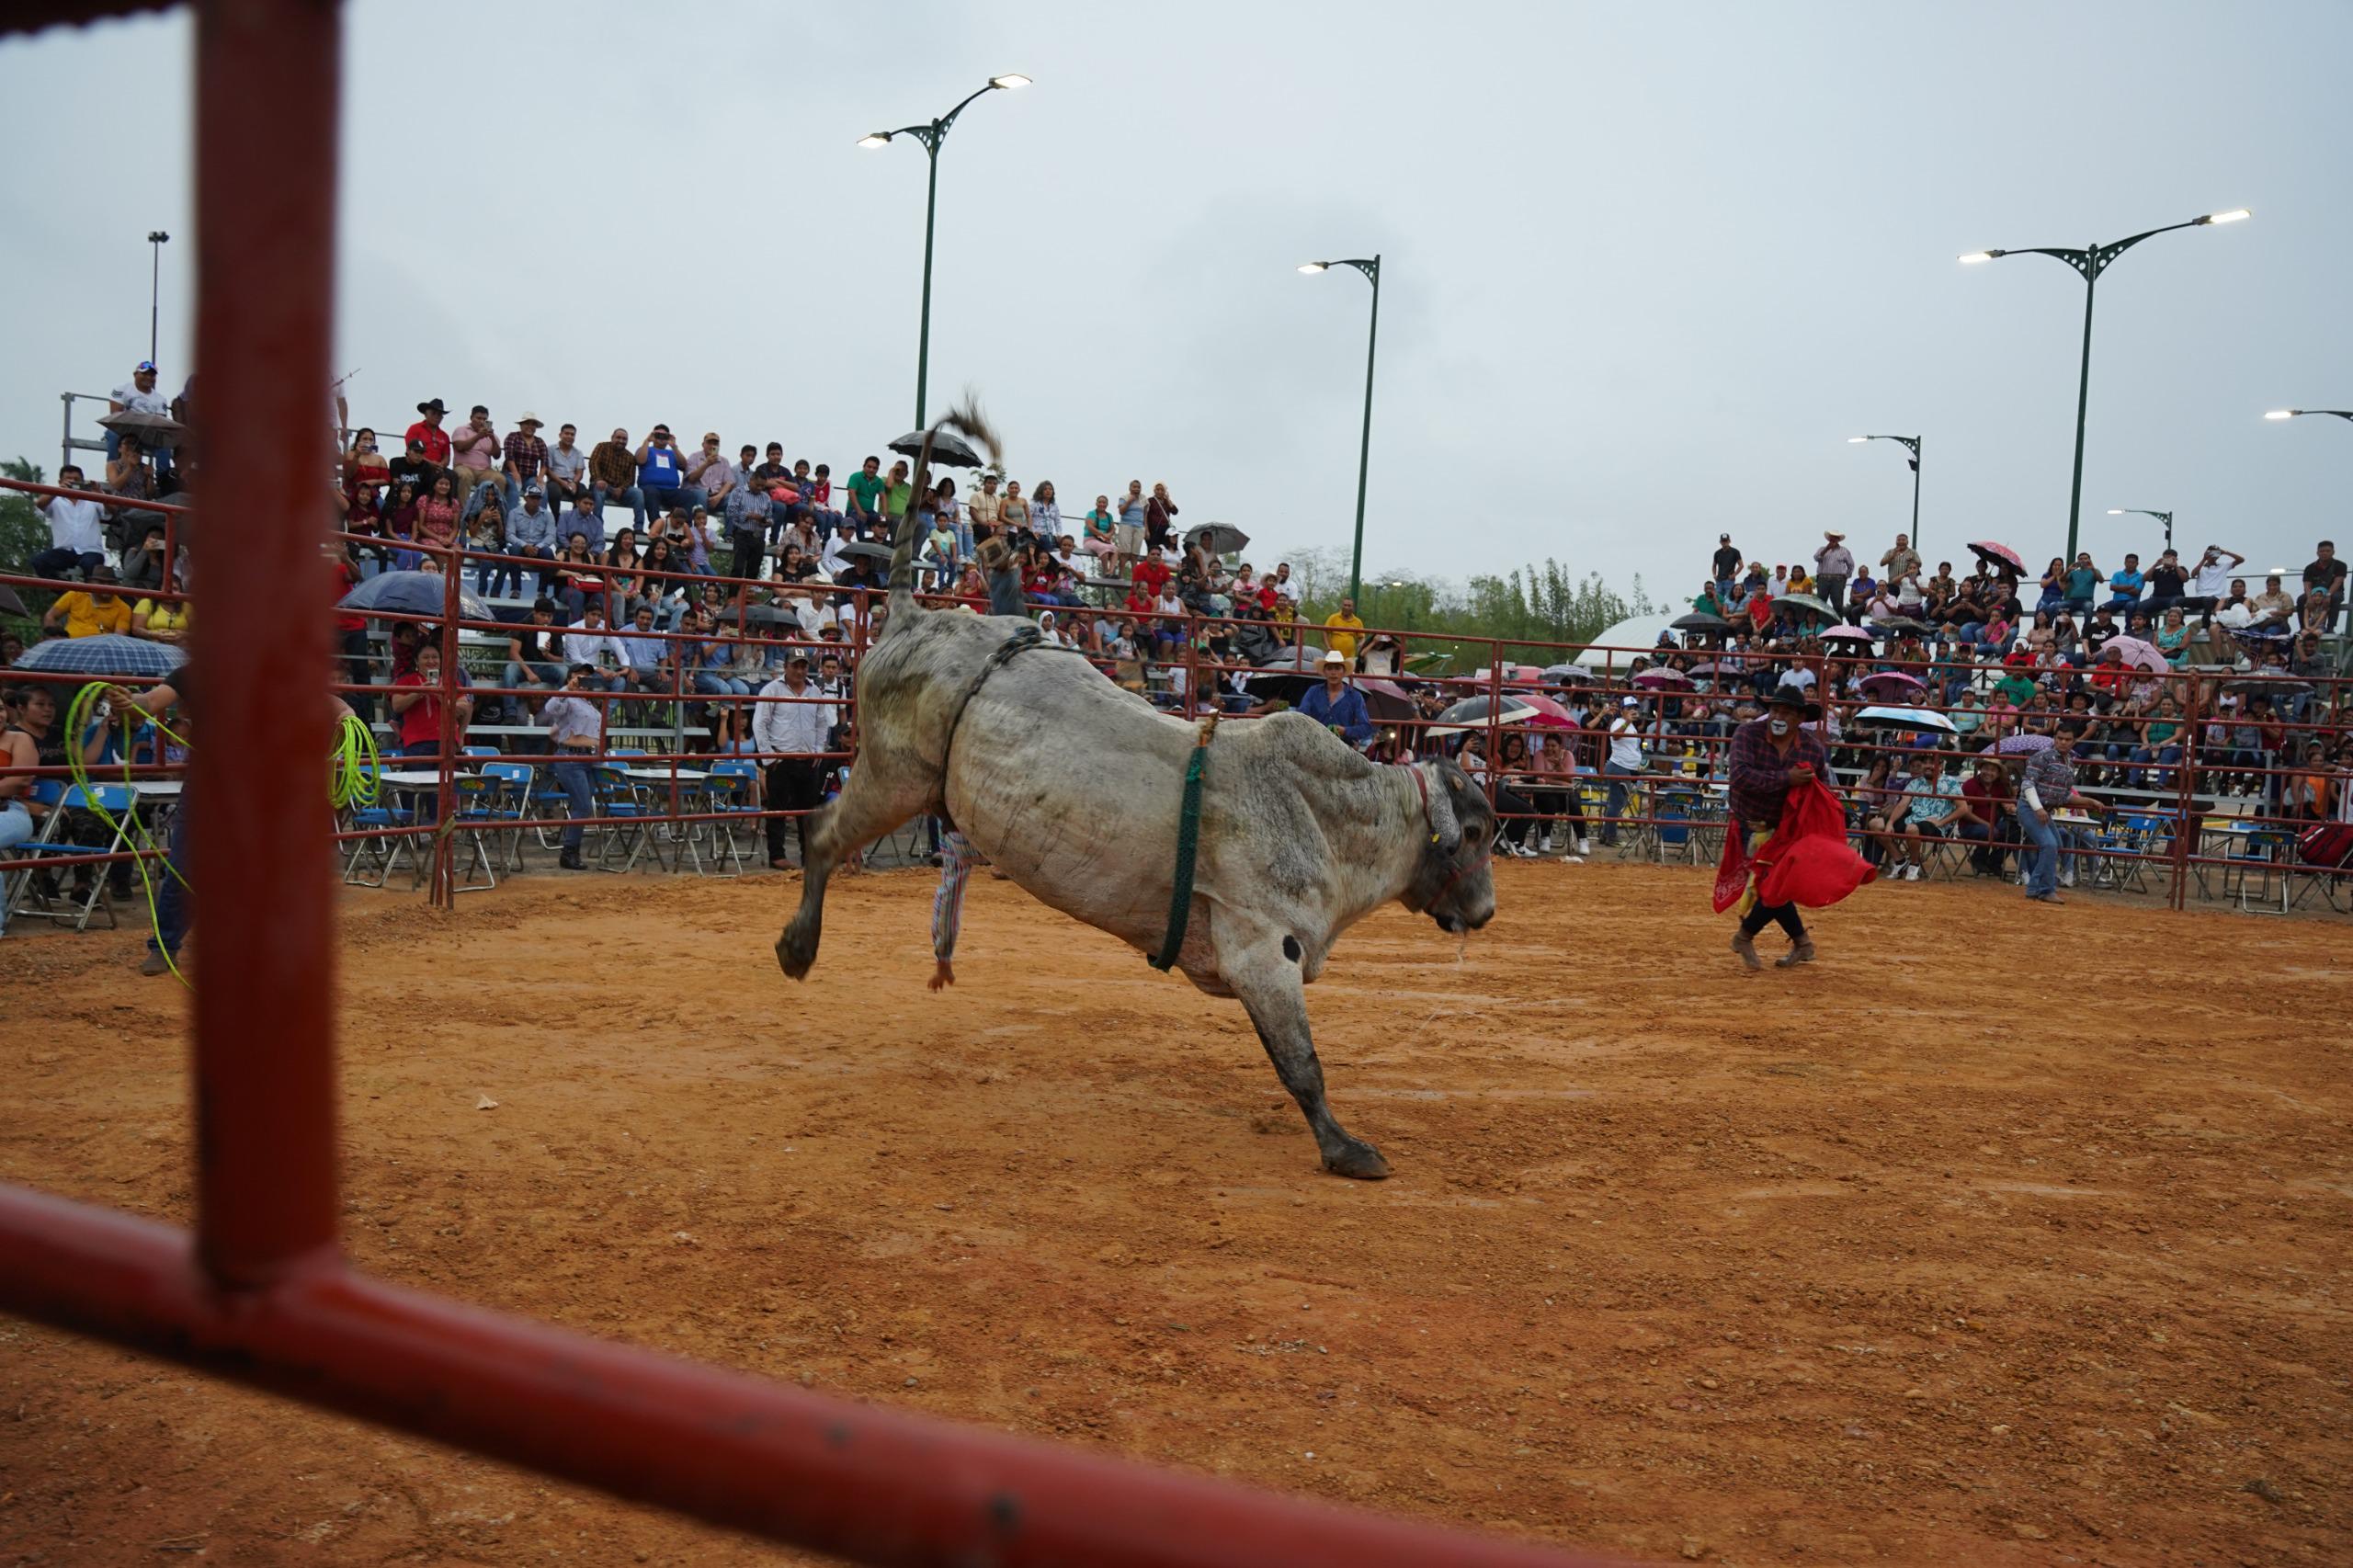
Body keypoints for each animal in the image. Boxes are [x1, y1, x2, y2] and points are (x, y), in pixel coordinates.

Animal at [775, 407, 1496, 1178]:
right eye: (1474, 834)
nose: (1486, 912)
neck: (1330, 817)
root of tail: (913, 616)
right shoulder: (1261, 951)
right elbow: (1303, 1064)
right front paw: (1345, 1148)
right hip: (894, 777)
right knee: (821, 835)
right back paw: (797, 948)